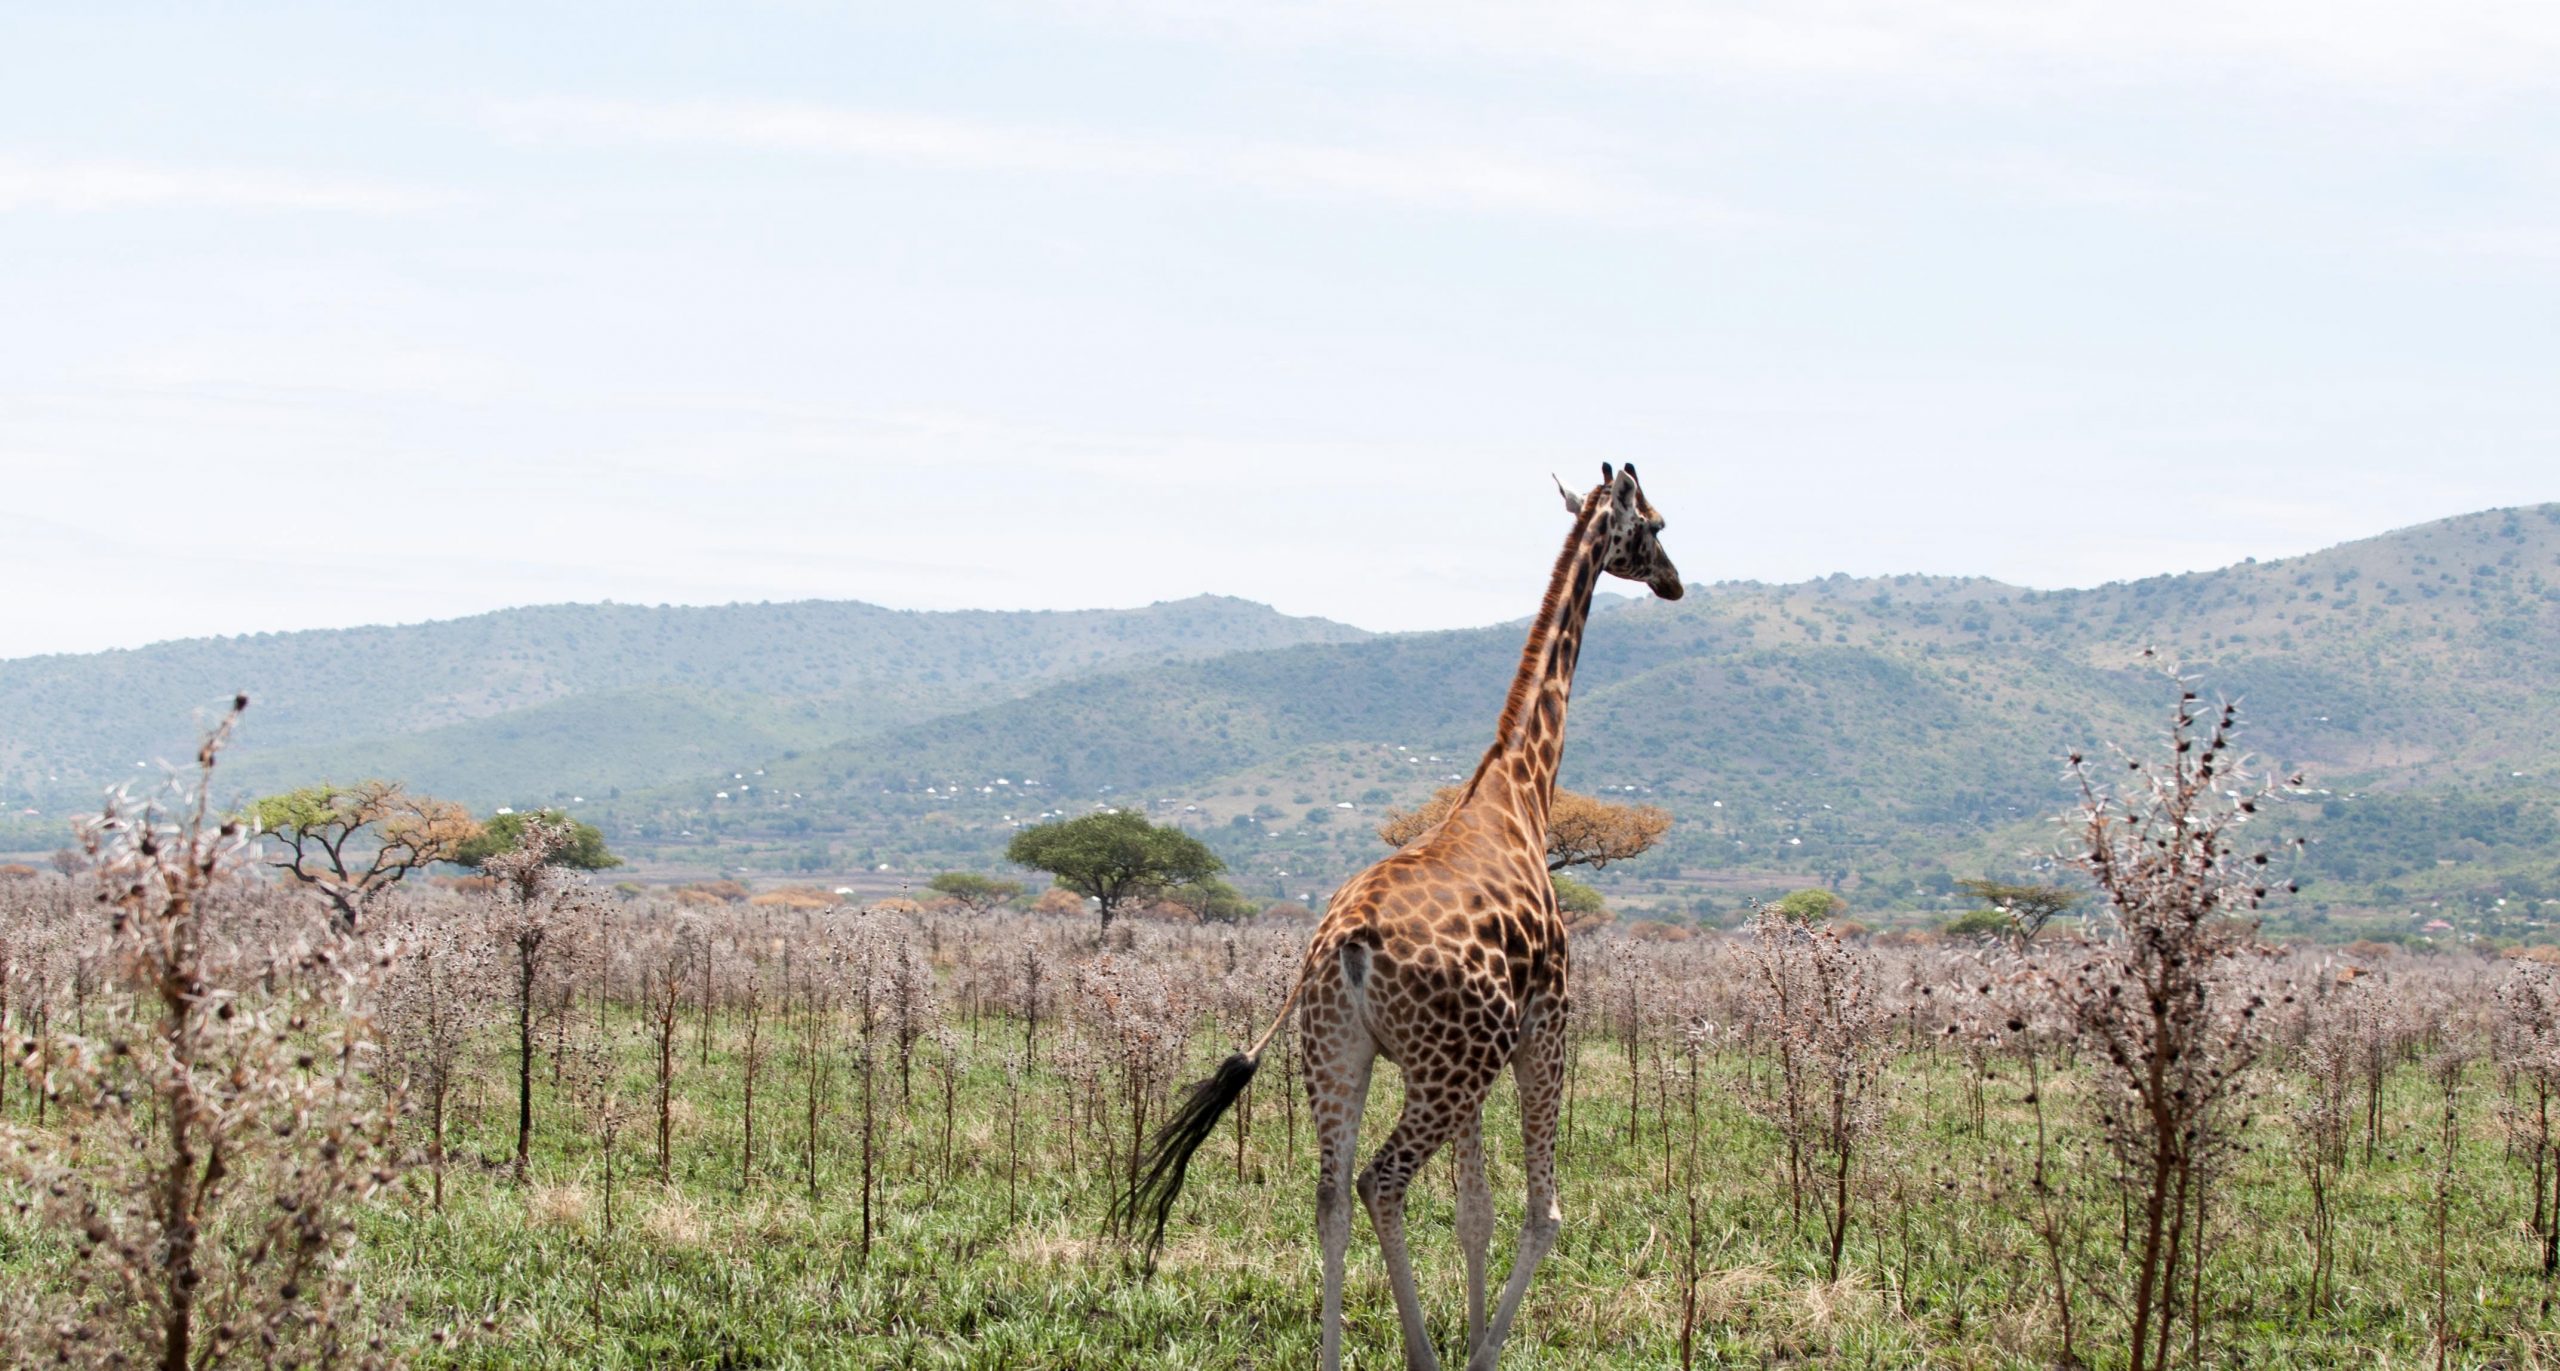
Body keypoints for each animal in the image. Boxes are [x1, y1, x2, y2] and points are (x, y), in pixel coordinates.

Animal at [1117, 463, 1683, 1370]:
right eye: (1656, 523)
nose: (1674, 581)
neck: (1522, 791)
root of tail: (1341, 946)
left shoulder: (1482, 1055)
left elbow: (1474, 1213)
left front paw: (1473, 1331)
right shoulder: (1546, 1023)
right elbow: (1539, 1212)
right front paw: (1481, 1352)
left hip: (1338, 1054)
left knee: (1330, 1197)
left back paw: (1334, 1357)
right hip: (1442, 1065)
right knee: (1382, 1181)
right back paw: (1420, 1352)